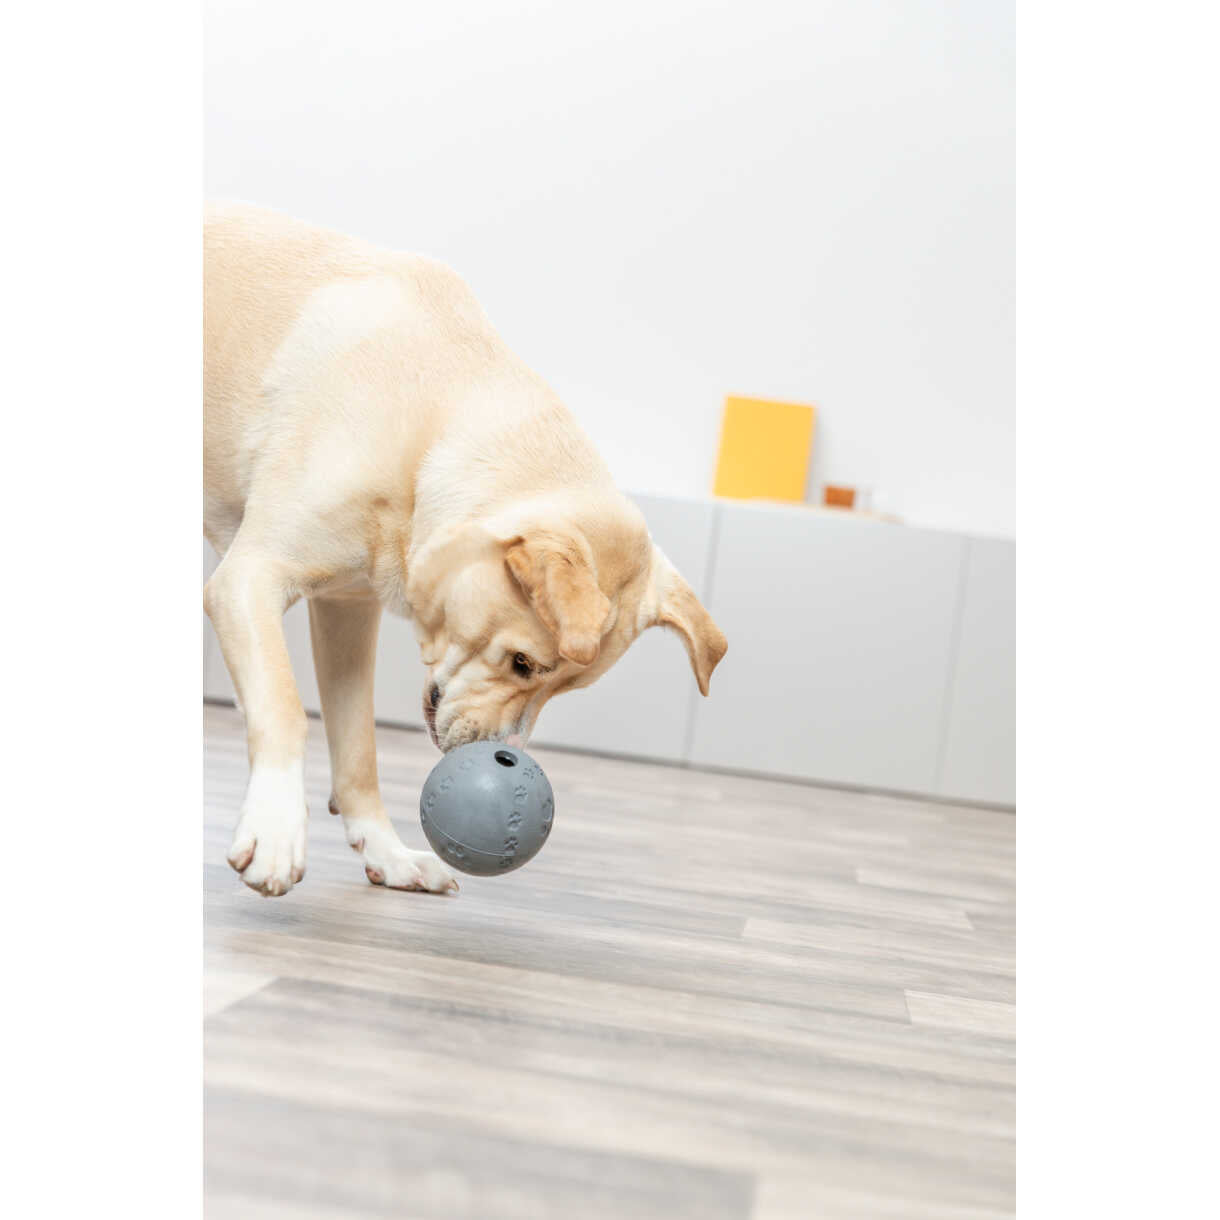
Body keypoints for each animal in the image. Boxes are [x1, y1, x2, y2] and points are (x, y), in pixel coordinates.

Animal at [204, 203, 727, 897]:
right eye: (526, 664)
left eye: (564, 687)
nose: (502, 754)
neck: (431, 426)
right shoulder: (247, 577)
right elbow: (285, 705)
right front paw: (276, 829)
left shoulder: (347, 613)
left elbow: (358, 746)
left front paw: (385, 849)